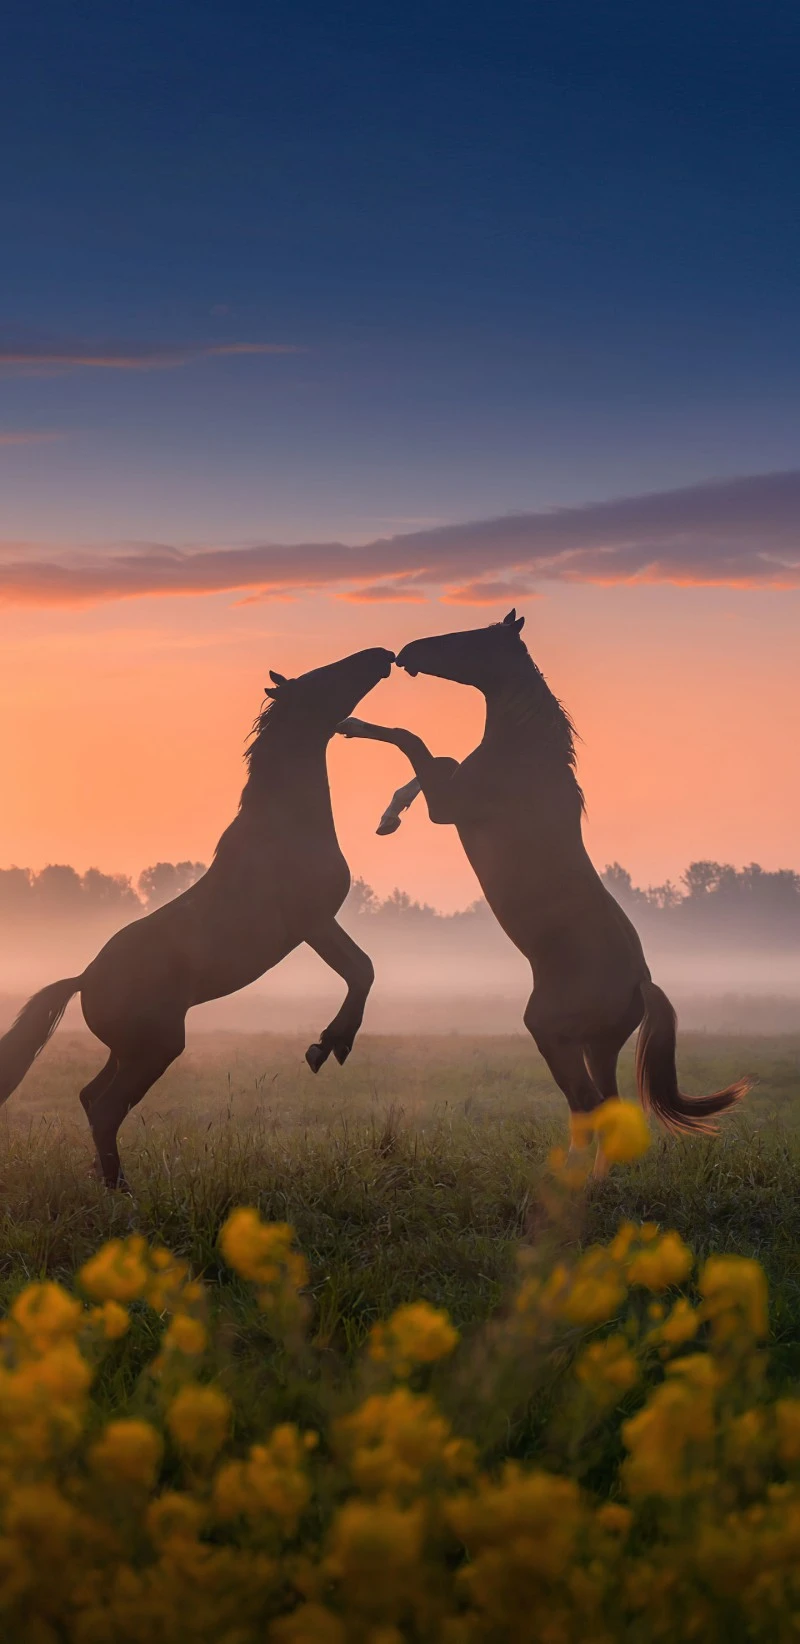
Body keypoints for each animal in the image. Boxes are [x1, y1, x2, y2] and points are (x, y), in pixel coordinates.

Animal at [0, 645, 394, 1187]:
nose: (382, 655)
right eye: (322, 679)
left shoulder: (322, 924)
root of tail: (83, 979)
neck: (288, 825)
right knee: (105, 1108)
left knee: (89, 1096)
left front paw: (328, 1044)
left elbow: (363, 969)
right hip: (156, 1048)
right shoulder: (312, 923)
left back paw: (110, 1182)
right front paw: (329, 1046)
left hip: (128, 1050)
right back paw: (124, 1193)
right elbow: (361, 970)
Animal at [338, 611, 749, 1157]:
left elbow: (415, 743)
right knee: (606, 1106)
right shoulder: (449, 791)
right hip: (596, 1045)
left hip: (552, 1035)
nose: (405, 653)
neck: (523, 760)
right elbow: (435, 759)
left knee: (589, 1103)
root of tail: (640, 983)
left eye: (471, 639)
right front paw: (388, 818)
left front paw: (350, 727)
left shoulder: (448, 807)